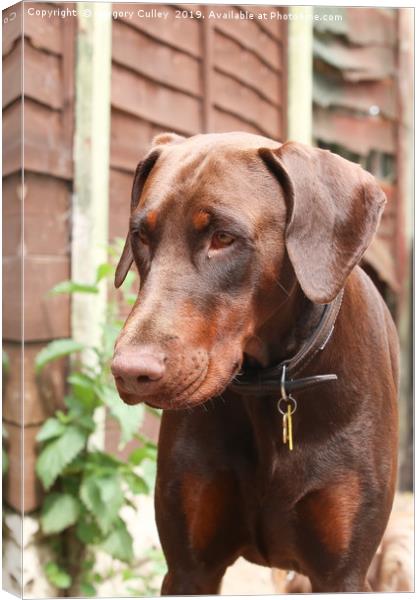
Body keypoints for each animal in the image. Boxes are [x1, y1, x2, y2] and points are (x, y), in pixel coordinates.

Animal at [110, 132, 398, 596]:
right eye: (141, 235)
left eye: (223, 237)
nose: (129, 372)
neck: (270, 385)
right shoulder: (190, 569)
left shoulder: (343, 574)